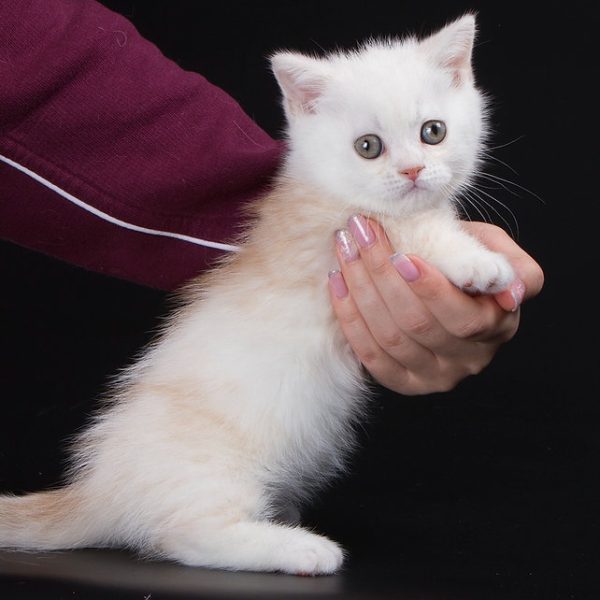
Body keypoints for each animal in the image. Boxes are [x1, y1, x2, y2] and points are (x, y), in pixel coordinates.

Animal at [0, 15, 516, 576]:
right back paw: (300, 548)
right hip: (209, 471)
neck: (321, 190)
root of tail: (95, 491)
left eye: (433, 132)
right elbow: (419, 235)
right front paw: (481, 263)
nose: (413, 172)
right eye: (368, 147)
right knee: (185, 535)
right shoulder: (337, 239)